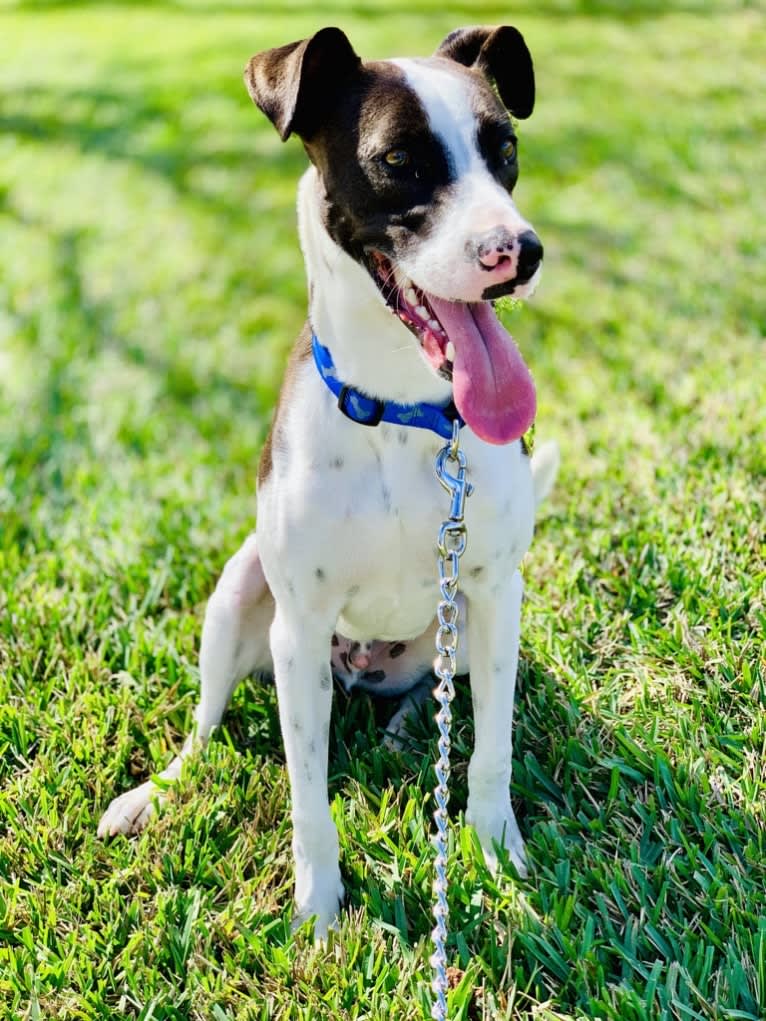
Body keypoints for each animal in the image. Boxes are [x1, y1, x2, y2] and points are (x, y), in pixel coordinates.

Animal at [99, 23, 559, 935]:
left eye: (505, 149)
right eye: (399, 160)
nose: (519, 252)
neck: (405, 411)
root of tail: (360, 668)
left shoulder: (496, 593)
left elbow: (492, 750)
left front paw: (496, 850)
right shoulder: (301, 625)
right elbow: (307, 792)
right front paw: (317, 904)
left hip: (455, 627)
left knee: (435, 692)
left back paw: (405, 730)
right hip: (239, 594)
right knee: (204, 723)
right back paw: (157, 790)